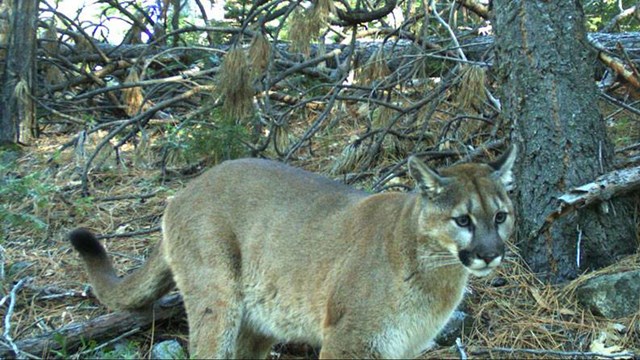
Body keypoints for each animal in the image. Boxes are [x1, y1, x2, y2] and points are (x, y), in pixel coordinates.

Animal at [70, 146, 516, 358]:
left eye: (500, 216)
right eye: (463, 220)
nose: (491, 254)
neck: (436, 274)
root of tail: (183, 191)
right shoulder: (348, 342)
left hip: (259, 321)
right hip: (218, 300)